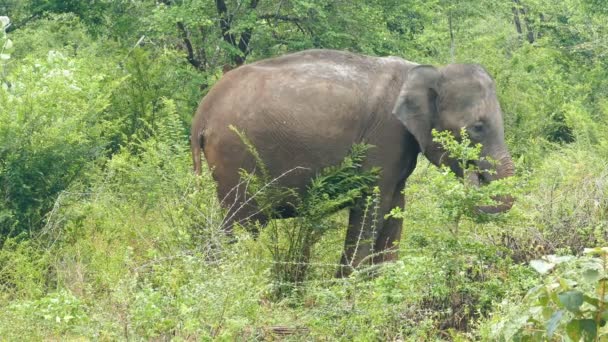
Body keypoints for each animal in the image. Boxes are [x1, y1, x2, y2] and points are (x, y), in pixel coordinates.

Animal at [190, 48, 512, 276]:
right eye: (477, 128)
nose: (474, 173)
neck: (426, 69)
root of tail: (202, 112)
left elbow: (396, 205)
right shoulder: (384, 137)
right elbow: (373, 203)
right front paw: (348, 287)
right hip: (235, 157)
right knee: (241, 223)